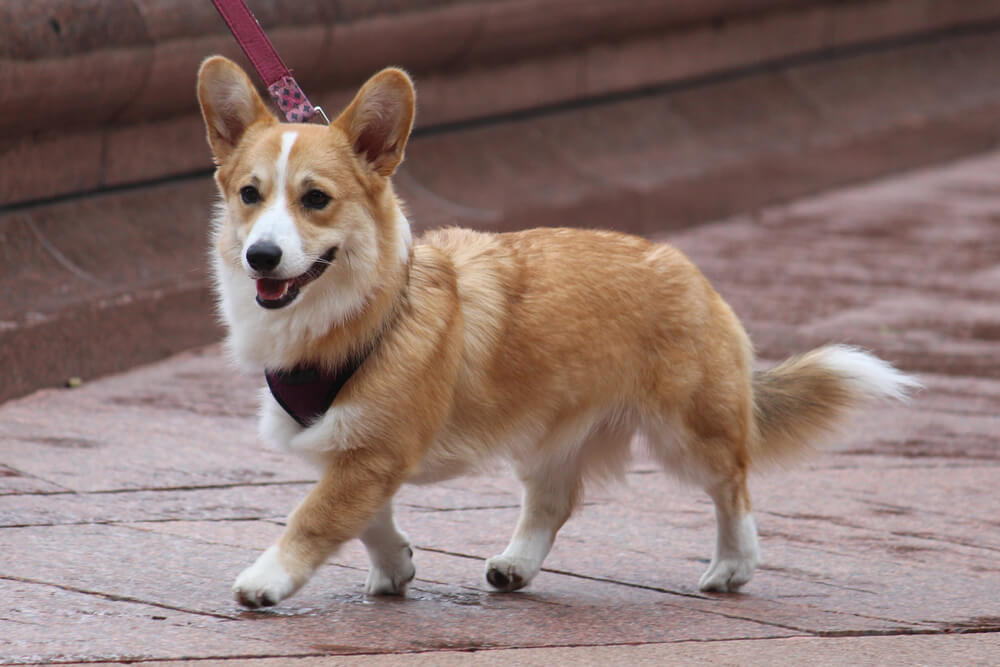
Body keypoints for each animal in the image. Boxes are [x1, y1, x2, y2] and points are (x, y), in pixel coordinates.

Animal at [197, 57, 920, 612]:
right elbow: (369, 519)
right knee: (553, 501)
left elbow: (314, 517)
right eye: (250, 195)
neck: (364, 308)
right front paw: (396, 566)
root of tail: (691, 272)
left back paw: (733, 566)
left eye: (315, 199)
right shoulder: (358, 450)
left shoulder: (374, 451)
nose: (261, 256)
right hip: (547, 432)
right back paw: (516, 564)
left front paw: (266, 579)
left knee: (733, 486)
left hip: (689, 431)